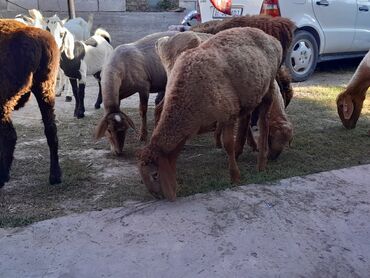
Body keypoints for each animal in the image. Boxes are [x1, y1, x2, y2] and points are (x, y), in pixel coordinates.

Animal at [0, 19, 62, 188]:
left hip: (6, 99)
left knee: (9, 135)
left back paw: (2, 177)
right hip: (45, 88)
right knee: (51, 129)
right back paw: (55, 175)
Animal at [137, 27, 282, 201]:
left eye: (155, 174)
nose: (158, 197)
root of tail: (271, 38)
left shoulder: (228, 114)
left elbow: (228, 144)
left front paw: (235, 176)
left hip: (269, 89)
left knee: (264, 122)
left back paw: (261, 163)